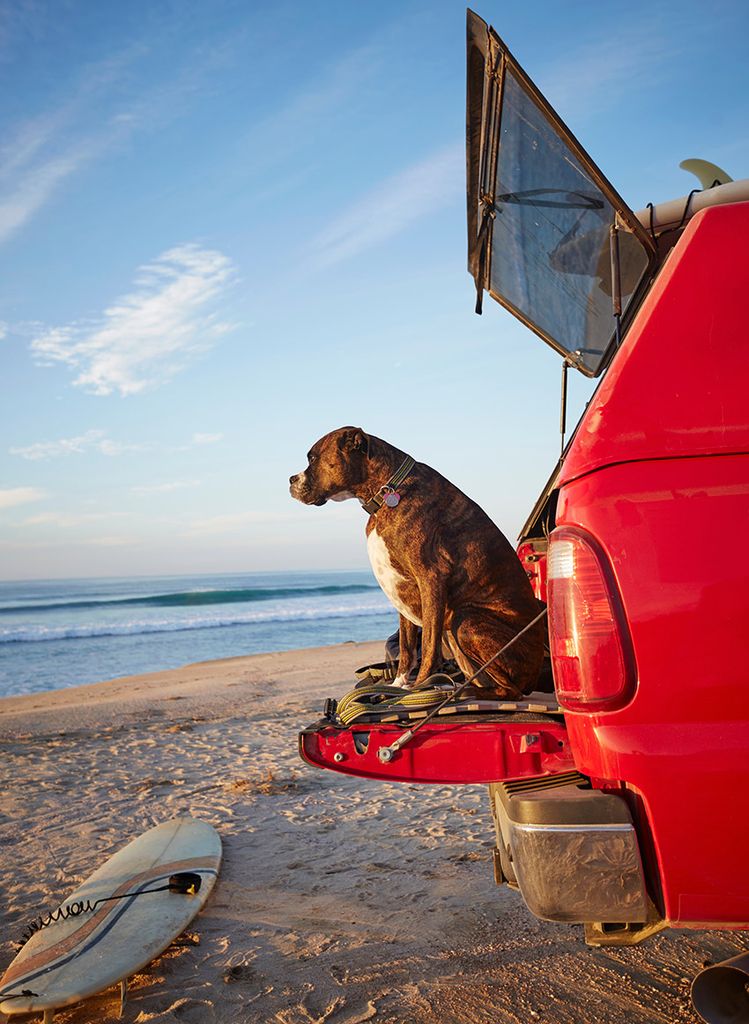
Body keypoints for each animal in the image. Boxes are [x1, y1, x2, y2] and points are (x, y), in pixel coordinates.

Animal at [288, 428, 545, 700]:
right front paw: (399, 687)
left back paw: (458, 691)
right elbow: (407, 648)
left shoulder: (430, 579)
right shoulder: (401, 592)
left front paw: (420, 687)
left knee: (510, 690)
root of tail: (533, 677)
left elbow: (428, 647)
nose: (291, 480)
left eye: (313, 458)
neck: (386, 490)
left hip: (467, 619)